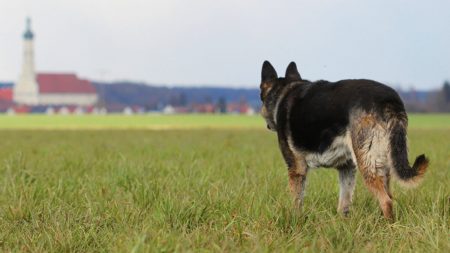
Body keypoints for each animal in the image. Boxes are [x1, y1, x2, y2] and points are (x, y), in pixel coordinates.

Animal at [258, 61, 428, 219]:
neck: (284, 91)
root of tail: (389, 100)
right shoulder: (347, 168)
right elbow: (344, 204)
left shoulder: (296, 168)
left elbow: (297, 201)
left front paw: (296, 221)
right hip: (383, 164)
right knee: (389, 197)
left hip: (367, 163)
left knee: (386, 201)